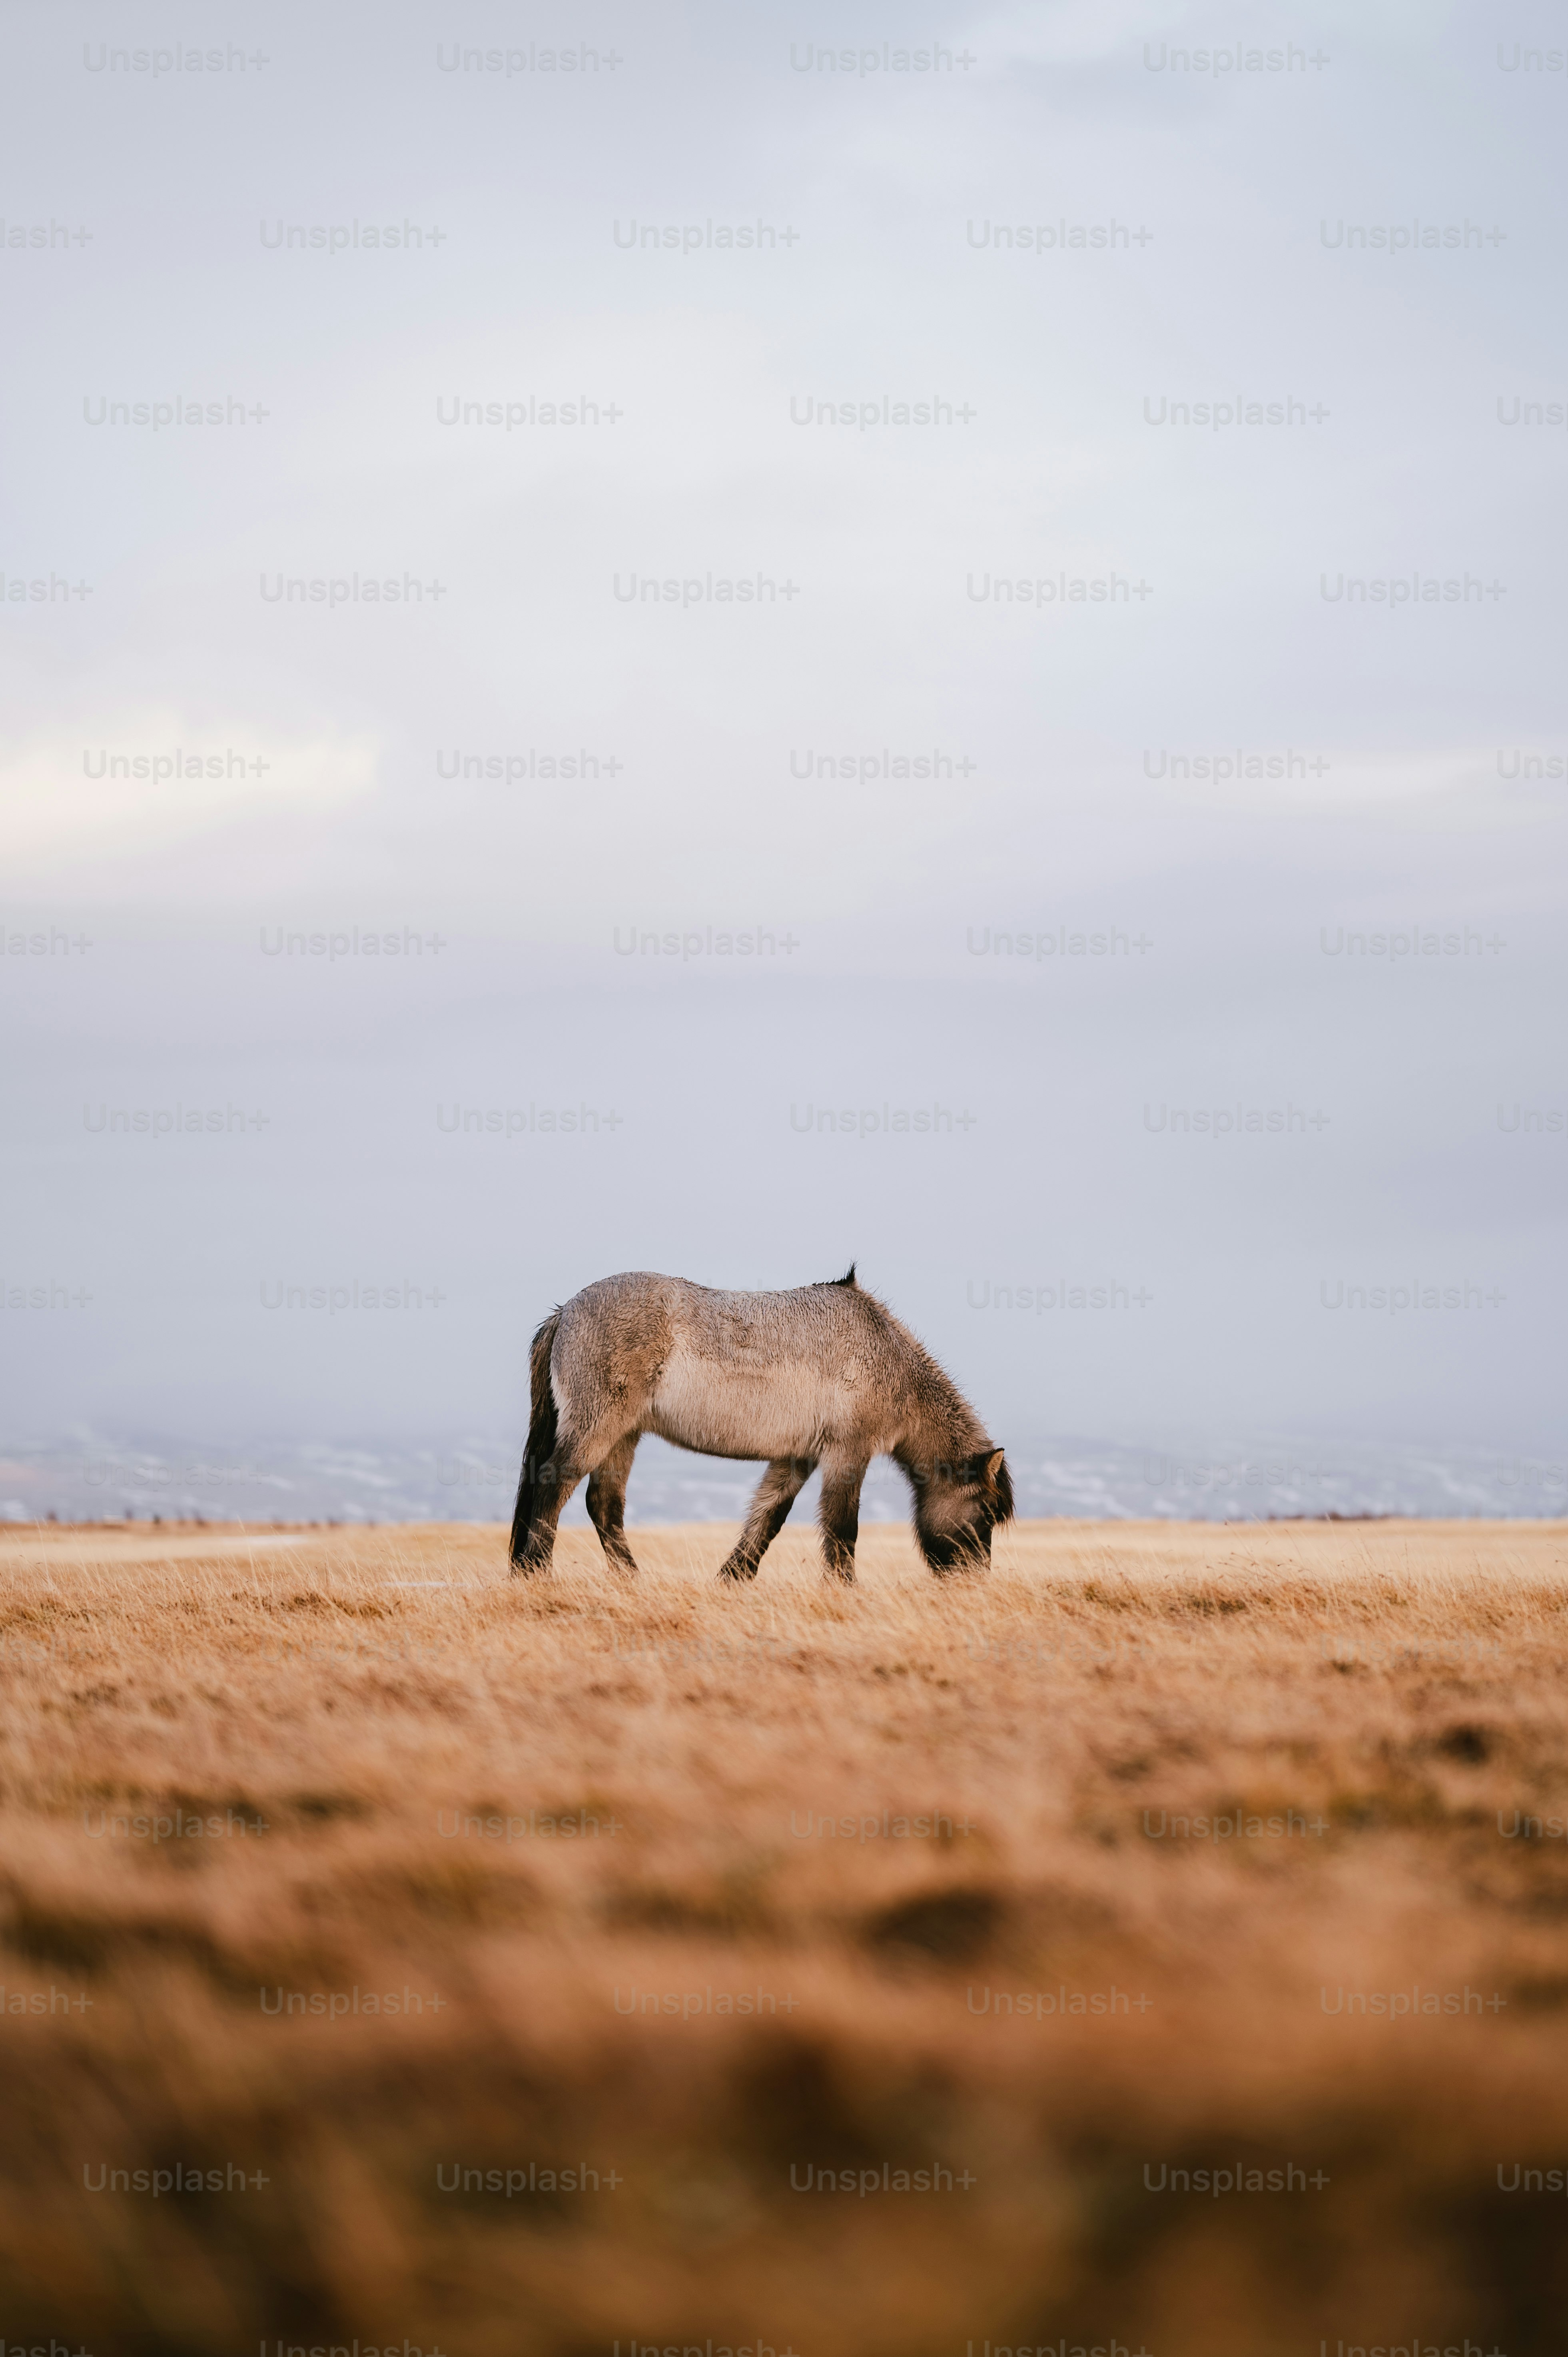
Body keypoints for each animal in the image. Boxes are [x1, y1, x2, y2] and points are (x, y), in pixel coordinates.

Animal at [508, 1266, 1013, 1581]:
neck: (886, 1355)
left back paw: (632, 1581)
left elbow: (768, 1519)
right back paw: (537, 1572)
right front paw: (845, 1591)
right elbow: (842, 1528)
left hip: (624, 1434)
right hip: (598, 1427)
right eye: (986, 1514)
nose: (972, 1582)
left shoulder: (798, 1457)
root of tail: (565, 1312)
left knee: (603, 1504)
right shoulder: (847, 1454)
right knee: (554, 1484)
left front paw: (732, 1580)